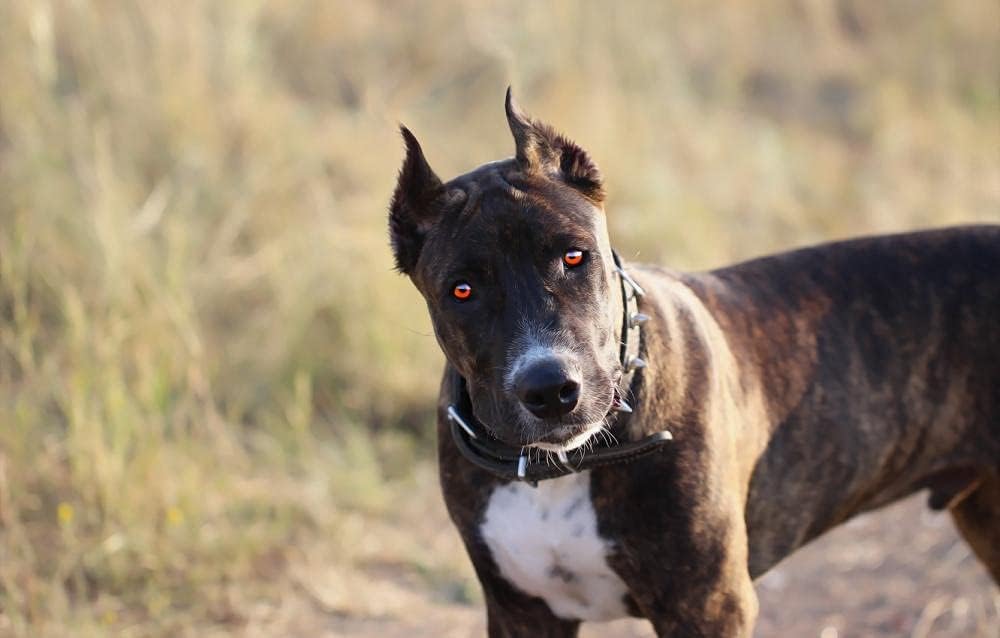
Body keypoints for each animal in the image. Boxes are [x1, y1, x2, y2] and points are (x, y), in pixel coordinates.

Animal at [387, 89, 1000, 636]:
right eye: (461, 291)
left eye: (574, 256)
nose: (550, 389)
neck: (561, 467)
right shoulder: (522, 613)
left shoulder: (709, 605)